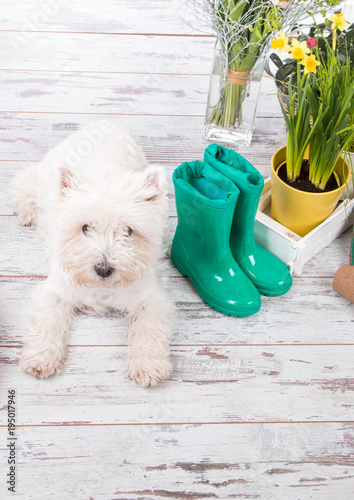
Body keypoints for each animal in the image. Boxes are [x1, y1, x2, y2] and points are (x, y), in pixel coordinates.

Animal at [12, 121, 174, 386]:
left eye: (128, 231)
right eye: (85, 228)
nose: (103, 269)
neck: (102, 290)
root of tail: (104, 124)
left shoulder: (152, 298)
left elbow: (149, 329)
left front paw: (148, 365)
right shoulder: (55, 290)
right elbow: (47, 322)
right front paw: (41, 358)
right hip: (45, 172)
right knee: (26, 178)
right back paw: (25, 209)